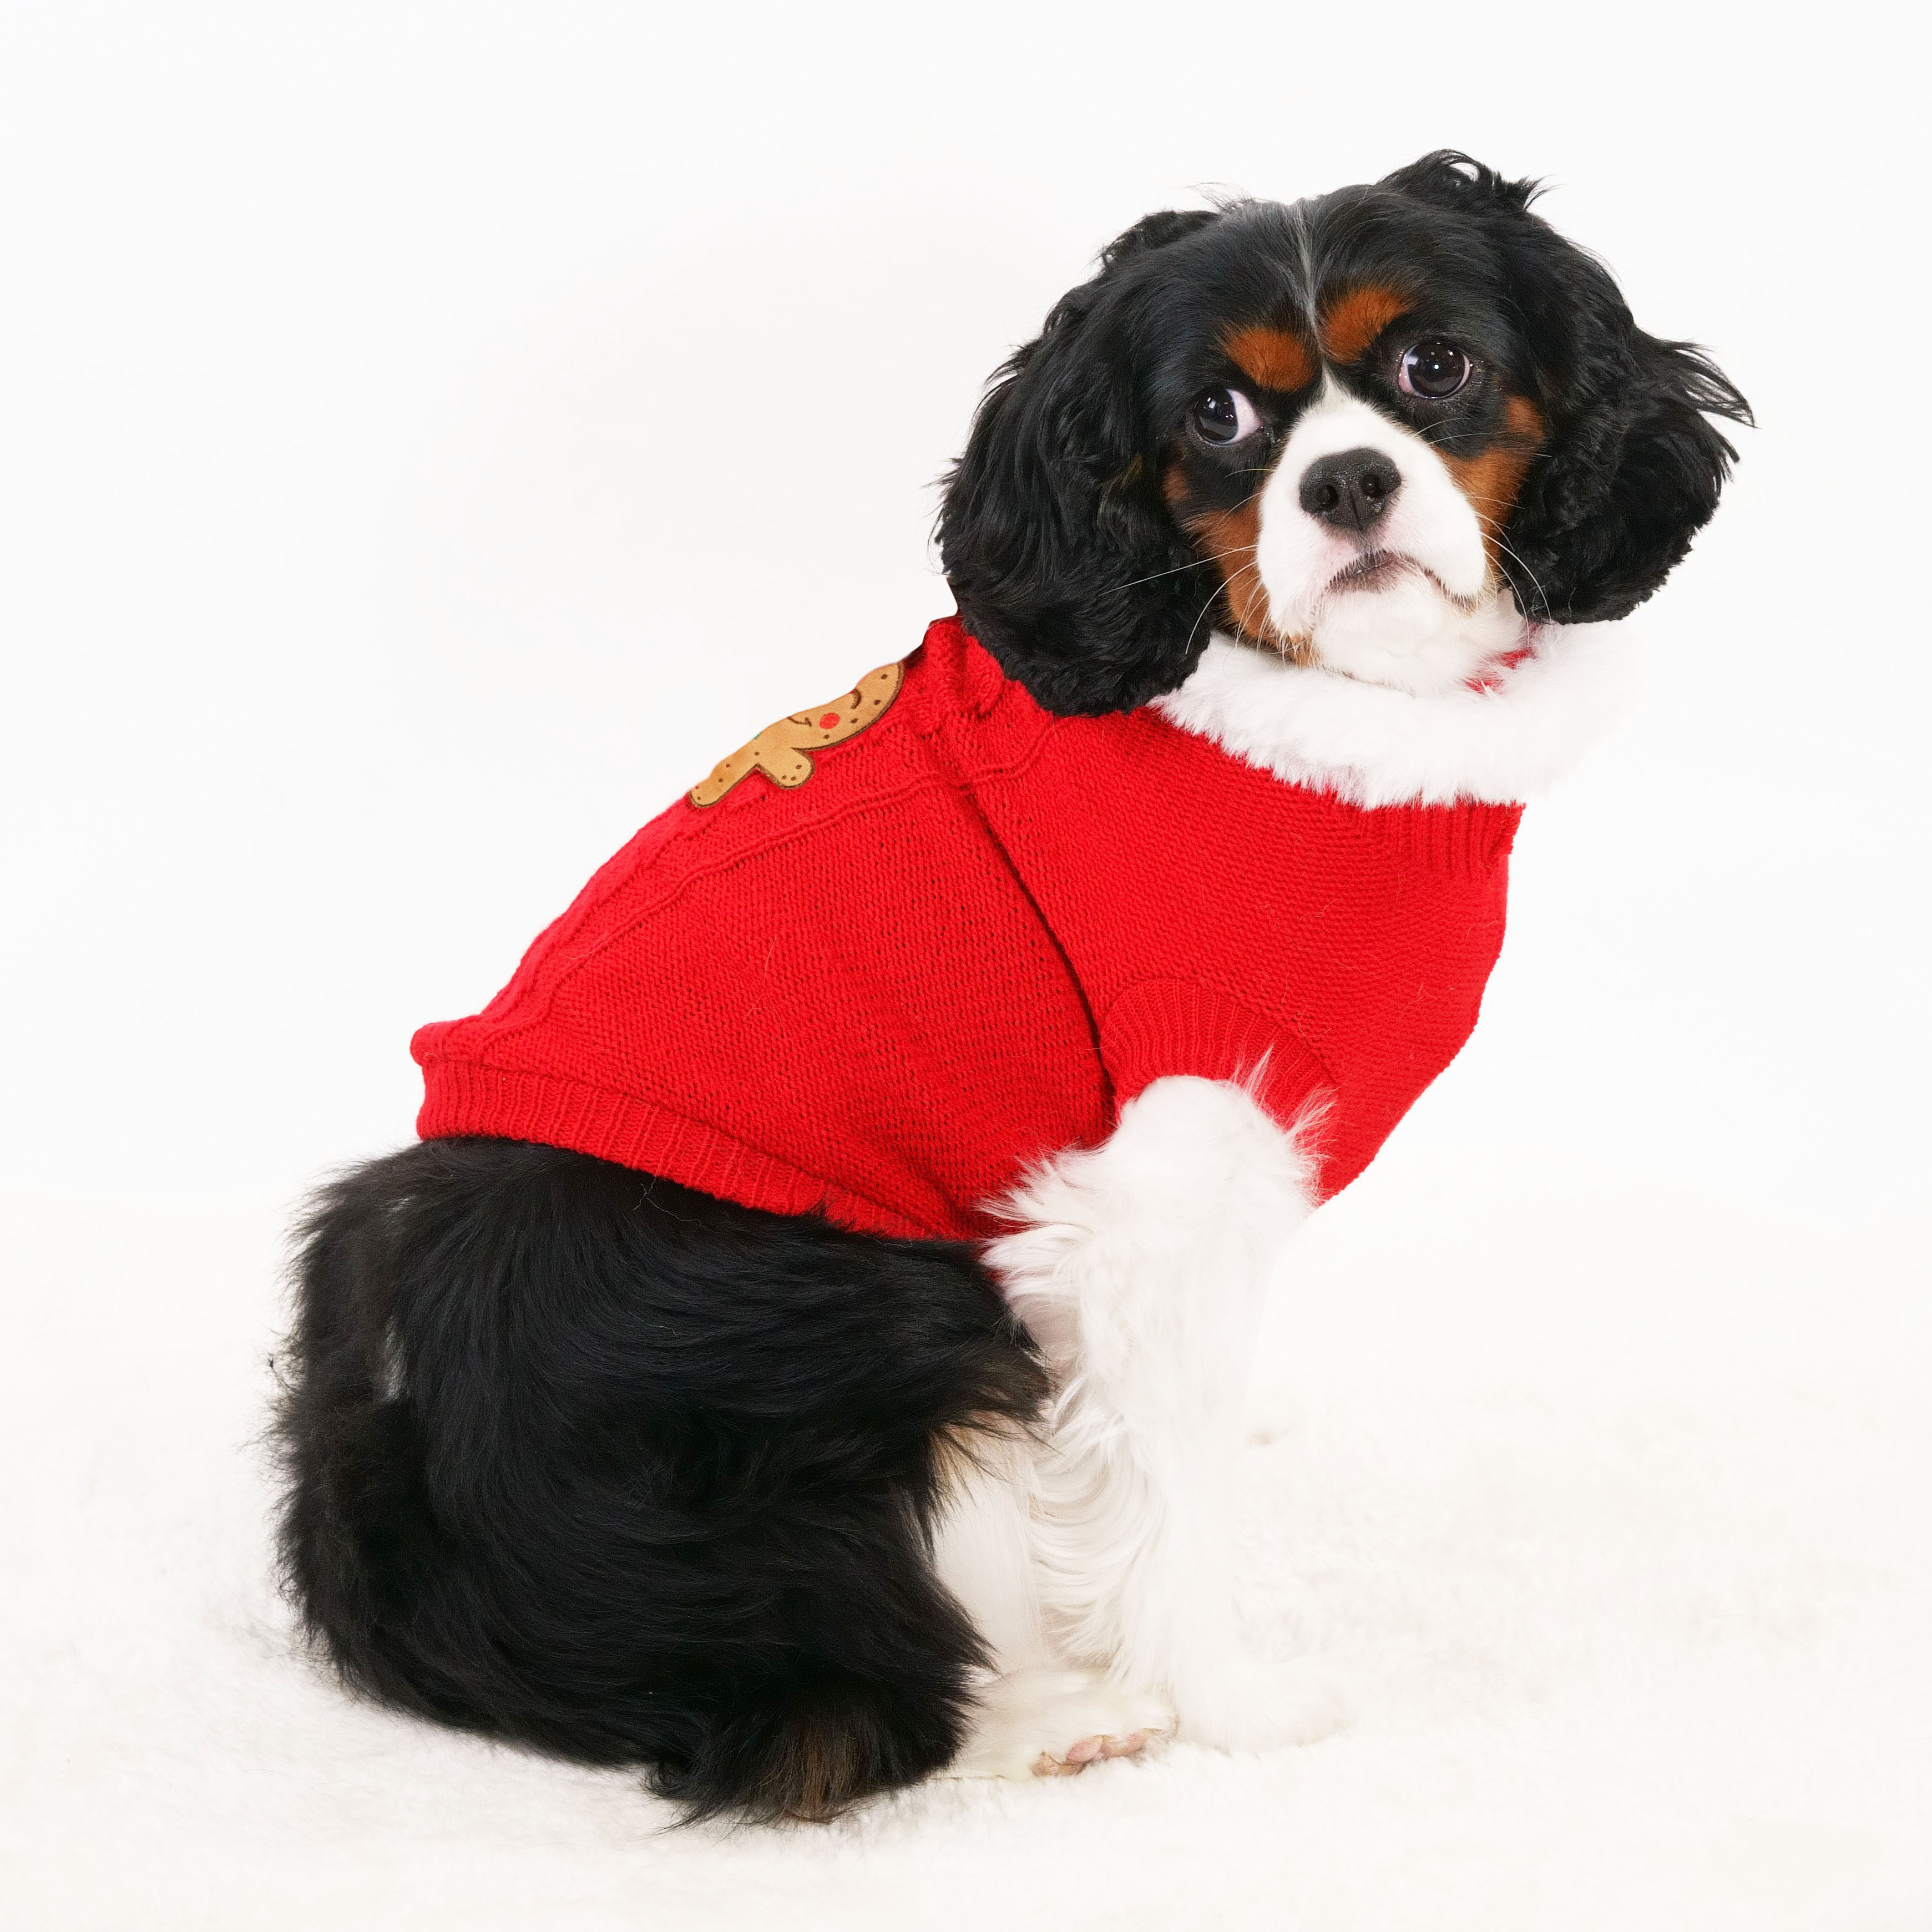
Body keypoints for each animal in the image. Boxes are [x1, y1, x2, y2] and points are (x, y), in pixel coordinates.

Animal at [276, 152, 1748, 1822]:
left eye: (1436, 367)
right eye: (1215, 415)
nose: (1344, 484)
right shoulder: (1156, 1177)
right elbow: (1163, 1502)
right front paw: (1228, 1699)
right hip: (867, 1302)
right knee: (831, 1713)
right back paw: (1049, 1718)